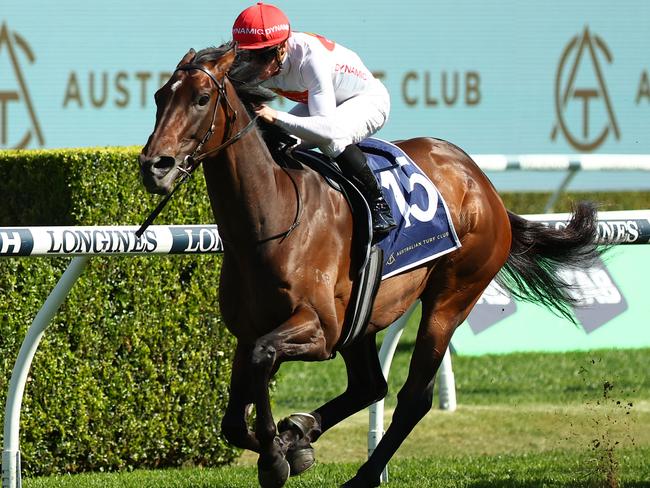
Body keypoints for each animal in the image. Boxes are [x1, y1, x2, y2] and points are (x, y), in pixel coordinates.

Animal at [139, 43, 600, 486]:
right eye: (160, 96)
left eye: (201, 99)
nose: (153, 166)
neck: (272, 218)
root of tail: (482, 183)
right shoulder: (251, 328)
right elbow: (235, 419)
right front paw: (291, 444)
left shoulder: (320, 329)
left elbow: (262, 358)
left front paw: (276, 456)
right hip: (364, 315)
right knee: (369, 384)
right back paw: (303, 429)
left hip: (452, 296)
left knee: (413, 396)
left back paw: (361, 475)